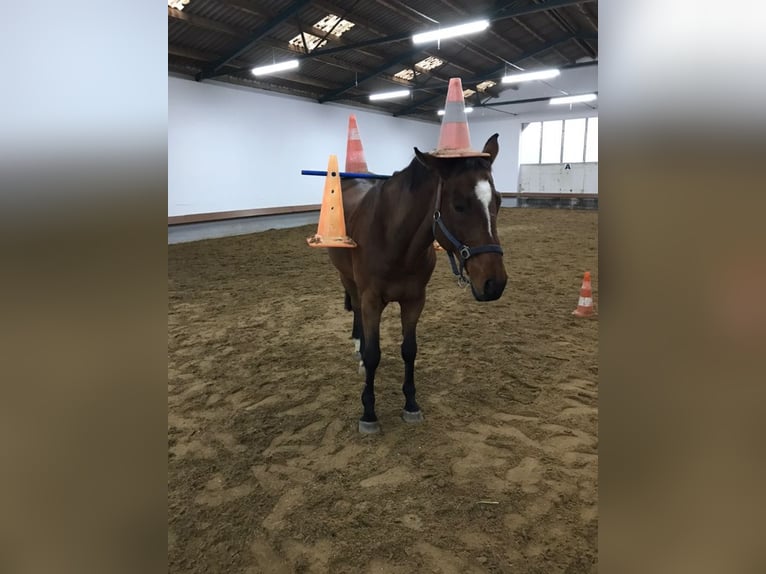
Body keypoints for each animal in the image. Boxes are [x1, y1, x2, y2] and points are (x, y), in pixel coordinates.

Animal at [328, 134, 508, 432]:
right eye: (458, 204)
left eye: (499, 201)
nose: (495, 283)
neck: (393, 239)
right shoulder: (371, 299)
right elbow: (374, 353)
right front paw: (368, 412)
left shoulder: (414, 301)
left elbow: (409, 350)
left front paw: (411, 404)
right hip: (349, 279)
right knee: (356, 312)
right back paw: (359, 352)